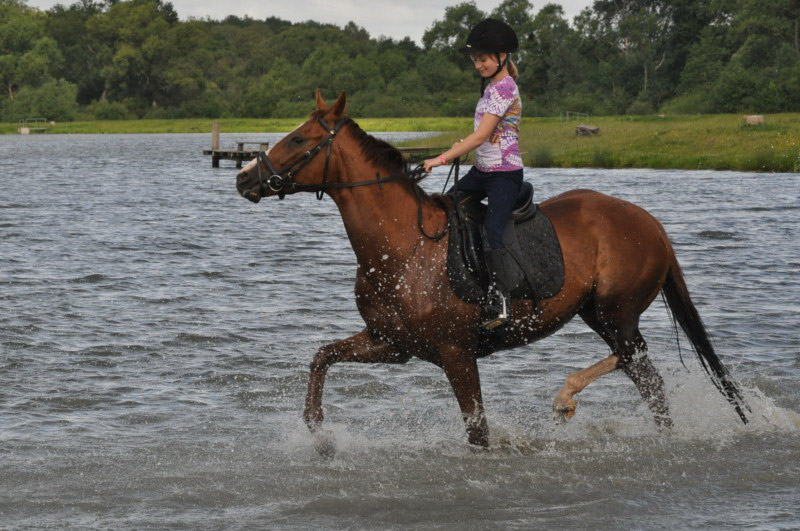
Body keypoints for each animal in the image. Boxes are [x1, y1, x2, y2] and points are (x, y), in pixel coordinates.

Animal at [234, 90, 748, 448]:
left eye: (299, 139)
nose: (243, 178)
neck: (402, 247)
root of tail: (650, 223)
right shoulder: (392, 344)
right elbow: (322, 356)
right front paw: (317, 432)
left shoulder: (456, 352)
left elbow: (478, 432)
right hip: (597, 313)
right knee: (647, 377)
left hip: (615, 311)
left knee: (633, 358)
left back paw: (566, 397)